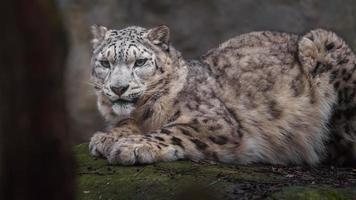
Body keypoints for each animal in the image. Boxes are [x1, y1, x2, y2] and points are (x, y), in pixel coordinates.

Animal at [88, 25, 356, 166]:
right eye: (105, 63)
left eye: (140, 62)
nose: (119, 88)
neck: (144, 113)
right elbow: (125, 124)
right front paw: (106, 137)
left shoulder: (212, 121)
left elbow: (171, 131)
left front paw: (130, 146)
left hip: (323, 42)